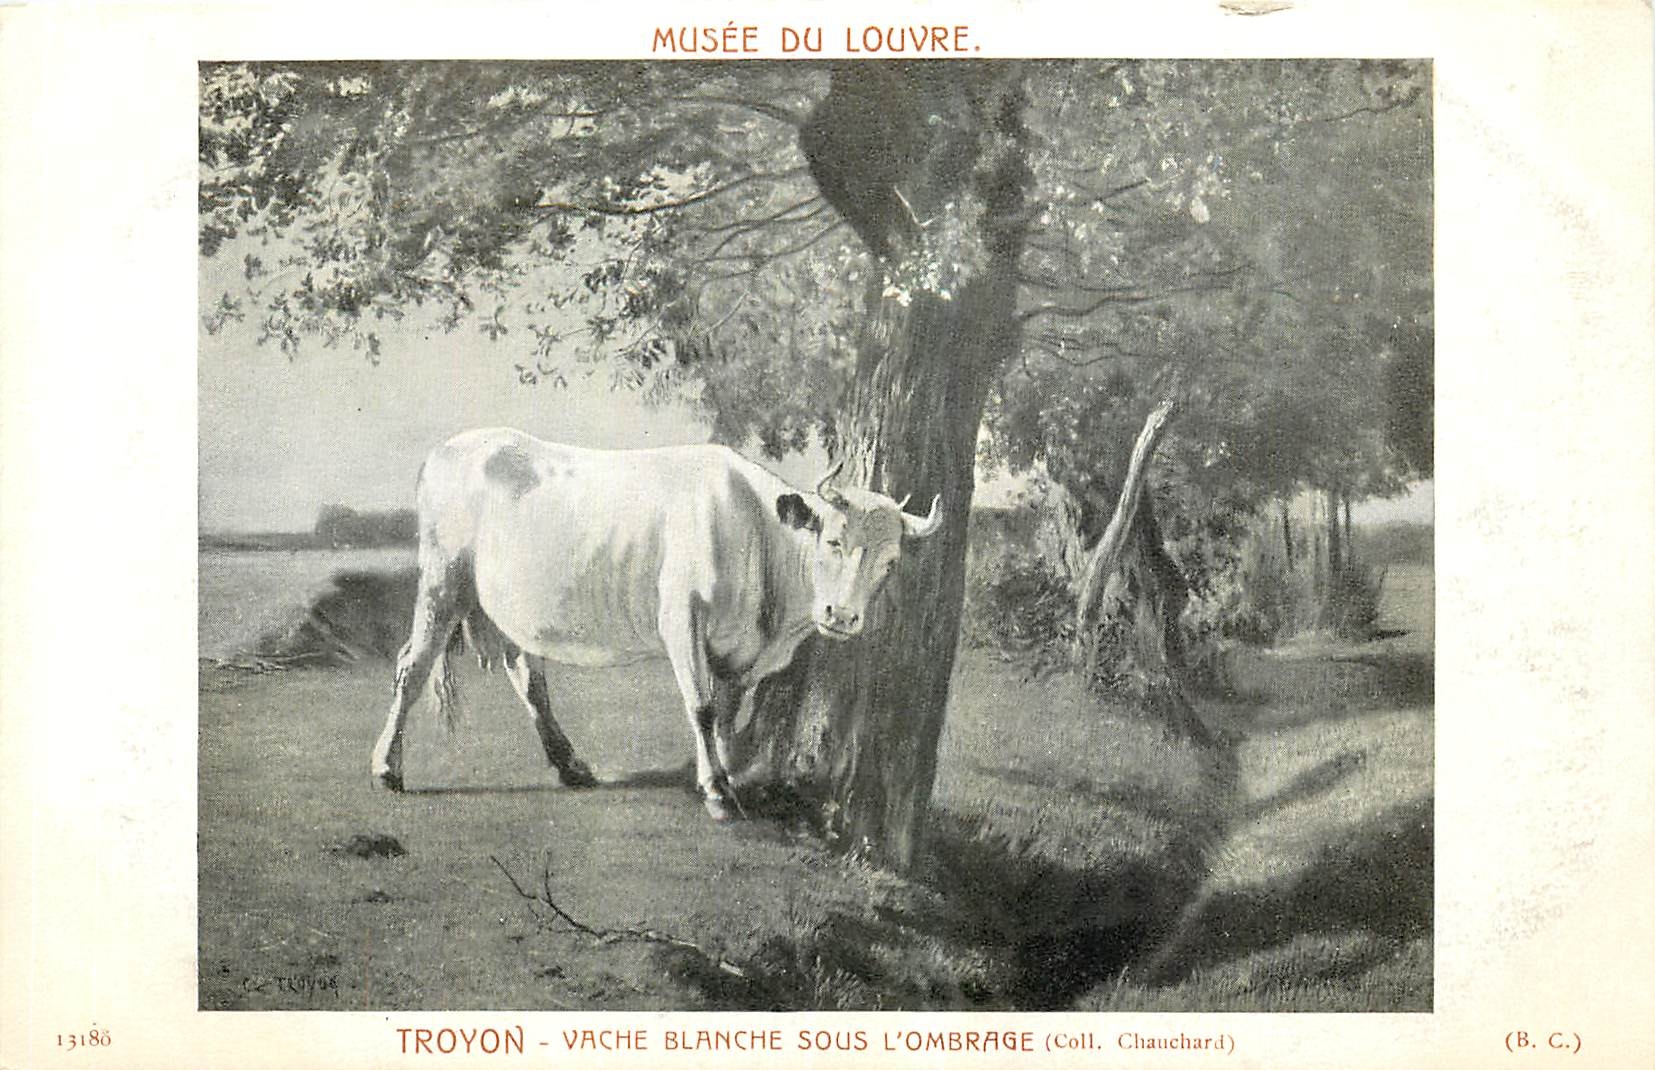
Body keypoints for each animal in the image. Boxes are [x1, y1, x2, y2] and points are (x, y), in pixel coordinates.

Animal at [369, 428, 944, 819]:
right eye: (833, 541)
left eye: (891, 562)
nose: (841, 617)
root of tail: (455, 445)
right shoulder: (681, 618)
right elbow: (702, 706)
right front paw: (716, 792)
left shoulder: (742, 653)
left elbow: (727, 713)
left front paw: (725, 777)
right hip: (442, 579)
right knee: (412, 666)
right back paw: (386, 767)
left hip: (513, 608)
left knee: (528, 678)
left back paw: (571, 765)